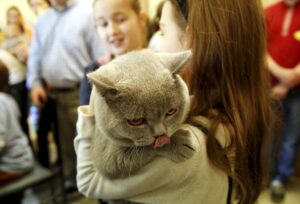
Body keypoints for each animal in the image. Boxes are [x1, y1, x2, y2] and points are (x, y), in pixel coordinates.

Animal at [86, 49, 195, 180]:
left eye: (171, 111)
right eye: (135, 121)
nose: (160, 135)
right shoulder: (105, 156)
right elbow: (142, 149)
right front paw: (179, 142)